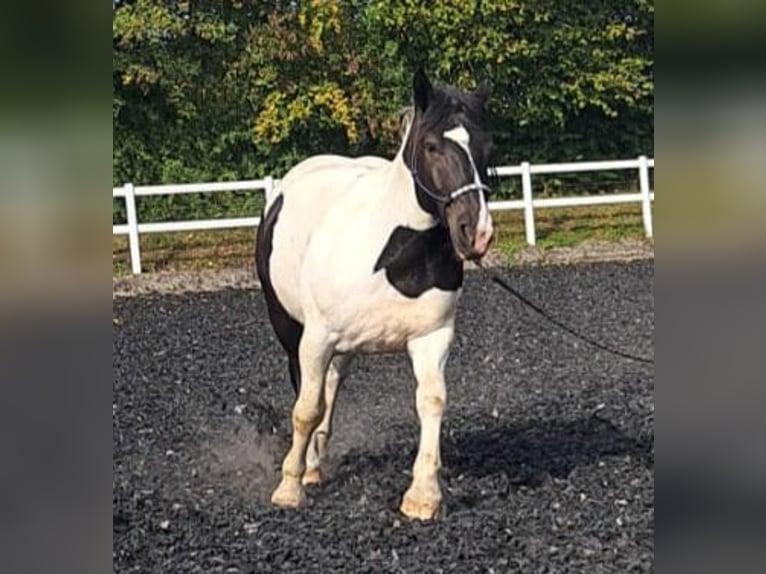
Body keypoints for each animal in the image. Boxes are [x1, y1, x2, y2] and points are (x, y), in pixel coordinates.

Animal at [255, 69, 494, 520]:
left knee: (331, 388)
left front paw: (423, 496)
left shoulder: (432, 338)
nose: (477, 233)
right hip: (292, 331)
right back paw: (307, 468)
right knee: (308, 394)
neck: (394, 254)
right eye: (431, 146)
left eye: (488, 146)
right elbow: (305, 410)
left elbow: (432, 401)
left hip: (345, 349)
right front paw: (288, 487)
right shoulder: (316, 339)